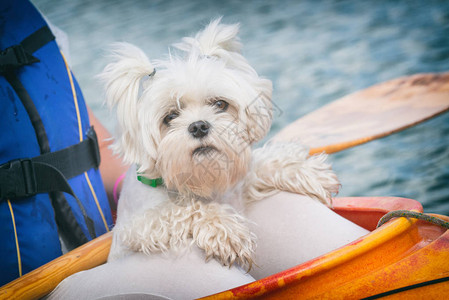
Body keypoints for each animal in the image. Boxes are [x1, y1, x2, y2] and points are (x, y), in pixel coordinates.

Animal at [101, 18, 338, 270]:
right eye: (170, 117)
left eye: (220, 104)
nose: (198, 126)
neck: (198, 182)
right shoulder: (138, 226)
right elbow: (184, 209)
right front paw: (225, 229)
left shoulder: (237, 185)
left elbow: (259, 165)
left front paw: (304, 169)